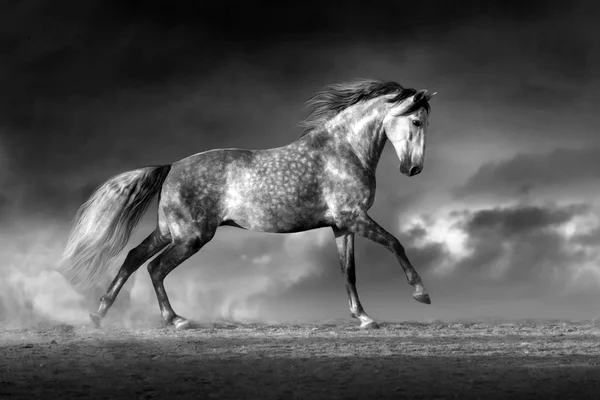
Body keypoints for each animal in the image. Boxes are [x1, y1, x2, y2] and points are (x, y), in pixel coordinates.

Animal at [56, 78, 436, 328]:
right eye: (416, 121)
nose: (414, 168)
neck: (344, 151)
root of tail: (171, 167)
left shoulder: (341, 225)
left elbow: (349, 271)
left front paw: (363, 317)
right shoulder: (355, 218)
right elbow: (395, 243)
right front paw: (421, 293)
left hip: (170, 232)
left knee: (134, 258)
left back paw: (99, 313)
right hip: (191, 237)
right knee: (155, 268)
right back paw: (176, 320)